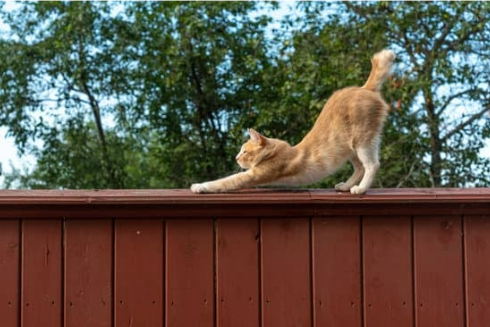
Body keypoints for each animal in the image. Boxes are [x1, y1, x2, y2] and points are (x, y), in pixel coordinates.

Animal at [189, 48, 396, 195]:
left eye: (244, 151)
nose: (236, 158)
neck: (276, 152)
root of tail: (365, 88)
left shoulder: (253, 175)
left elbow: (225, 181)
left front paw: (200, 186)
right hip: (350, 147)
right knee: (360, 167)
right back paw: (346, 186)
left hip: (363, 141)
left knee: (372, 165)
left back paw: (360, 189)